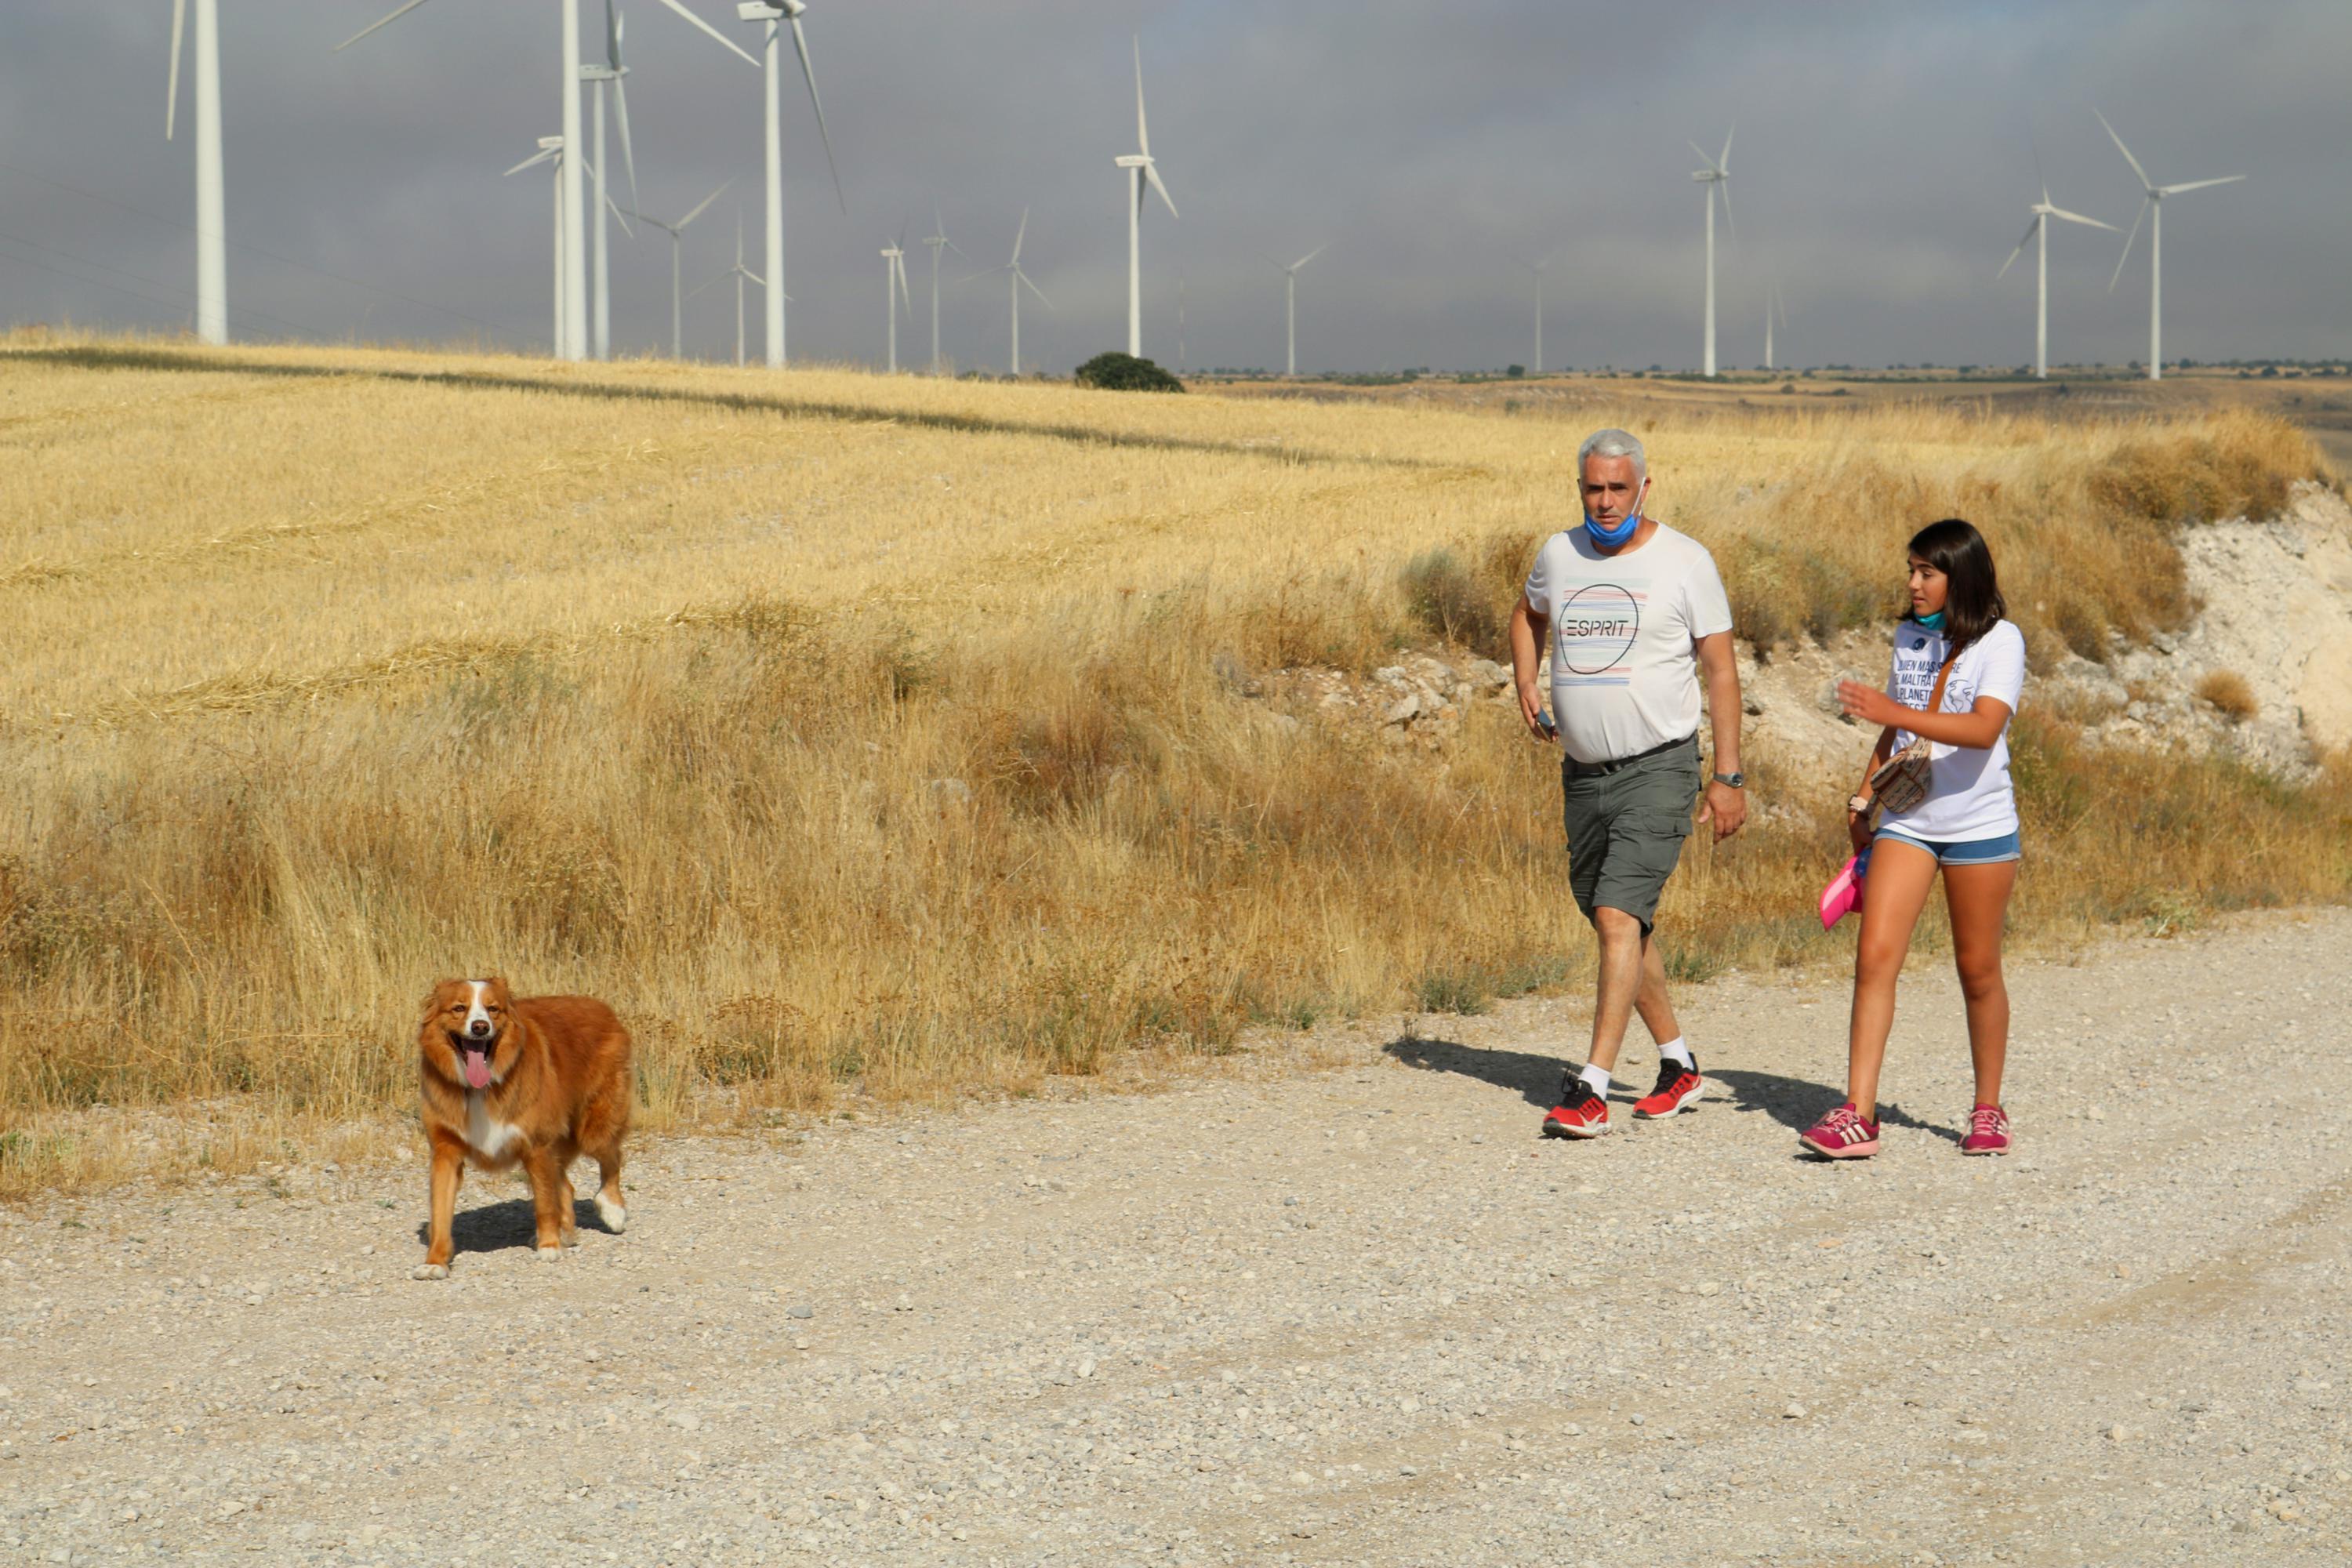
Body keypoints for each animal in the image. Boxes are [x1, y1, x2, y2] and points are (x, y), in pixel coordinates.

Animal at [412, 987, 635, 1279]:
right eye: (459, 1008)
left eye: (493, 1009)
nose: (481, 1027)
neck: (480, 1089)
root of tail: (599, 1005)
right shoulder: (445, 1152)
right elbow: (440, 1212)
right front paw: (435, 1262)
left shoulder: (537, 1145)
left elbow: (544, 1204)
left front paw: (549, 1246)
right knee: (566, 1186)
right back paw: (566, 1232)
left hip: (594, 1127)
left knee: (612, 1158)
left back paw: (613, 1211)